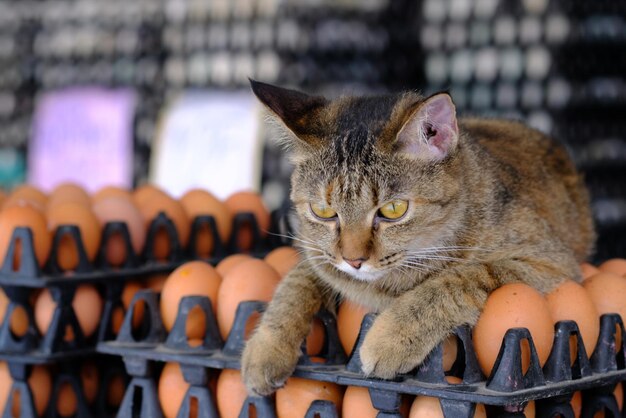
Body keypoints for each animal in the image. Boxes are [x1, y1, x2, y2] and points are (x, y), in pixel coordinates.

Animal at [241, 79, 592, 396]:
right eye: (323, 211)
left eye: (393, 210)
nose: (354, 260)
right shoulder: (319, 256)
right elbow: (297, 282)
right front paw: (266, 347)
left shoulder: (549, 262)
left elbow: (460, 278)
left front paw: (392, 336)